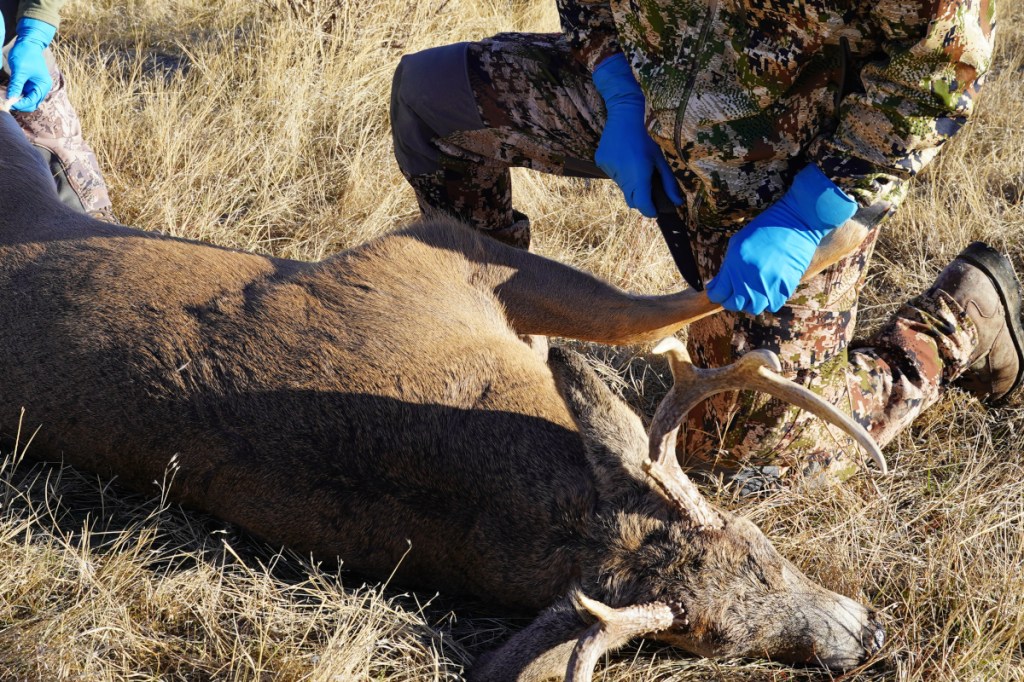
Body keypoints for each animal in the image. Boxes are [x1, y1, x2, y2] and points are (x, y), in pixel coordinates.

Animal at [0, 107, 887, 680]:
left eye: (762, 556)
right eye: (721, 643)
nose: (868, 638)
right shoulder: (433, 254)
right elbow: (660, 305)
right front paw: (831, 226)